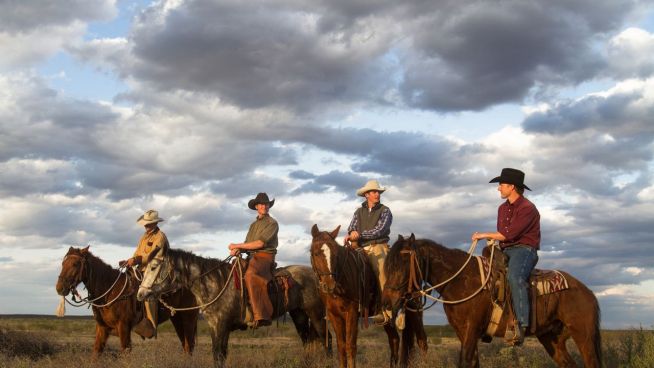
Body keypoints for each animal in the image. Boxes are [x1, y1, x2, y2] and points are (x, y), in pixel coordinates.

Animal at [55, 246, 200, 356]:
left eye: (75, 264)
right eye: (62, 263)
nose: (59, 288)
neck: (109, 290)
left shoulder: (124, 327)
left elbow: (125, 352)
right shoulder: (102, 328)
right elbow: (96, 352)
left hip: (189, 317)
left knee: (189, 346)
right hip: (177, 318)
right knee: (185, 345)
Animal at [312, 224, 430, 368]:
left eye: (335, 255)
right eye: (316, 253)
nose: (329, 285)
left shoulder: (351, 313)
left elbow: (350, 346)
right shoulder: (335, 316)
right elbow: (341, 347)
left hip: (414, 310)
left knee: (422, 341)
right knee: (395, 340)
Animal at [384, 236, 604, 368]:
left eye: (402, 264)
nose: (387, 301)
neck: (460, 279)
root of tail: (588, 292)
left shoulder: (472, 329)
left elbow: (465, 362)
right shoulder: (463, 332)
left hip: (583, 337)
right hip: (552, 338)